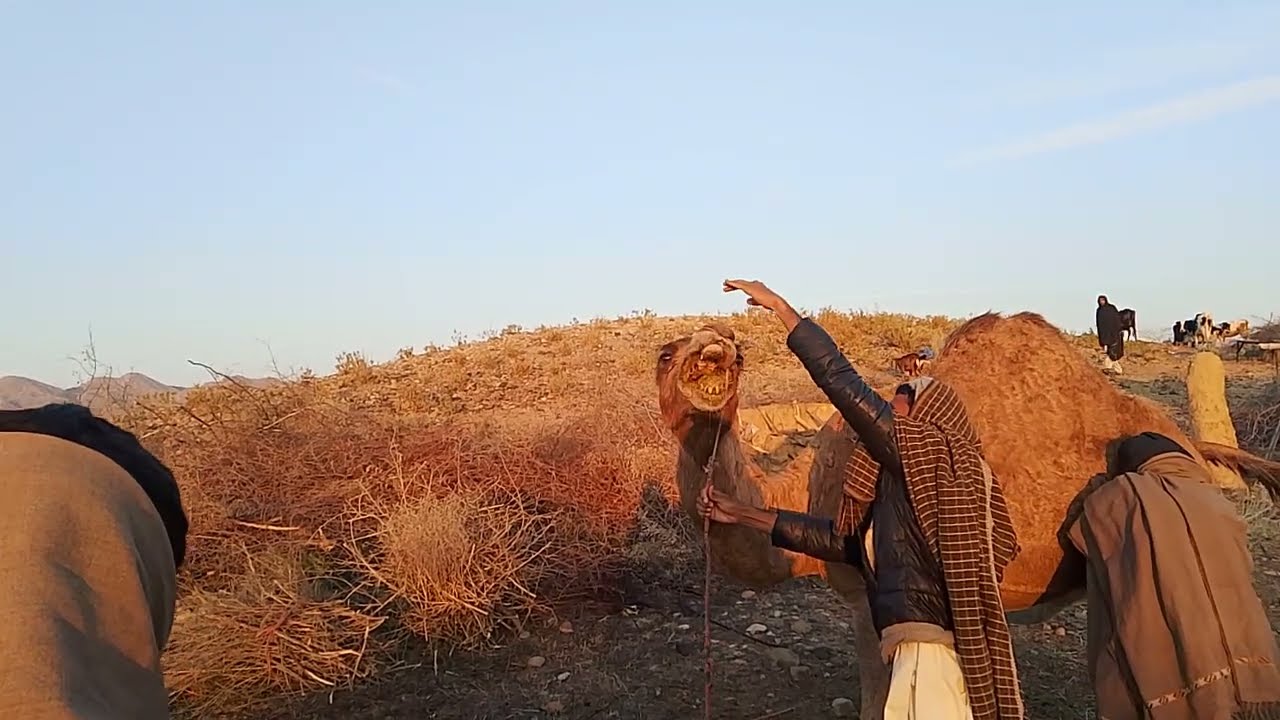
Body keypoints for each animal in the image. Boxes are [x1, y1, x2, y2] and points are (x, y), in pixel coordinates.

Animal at [656, 312, 1280, 719]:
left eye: (738, 352)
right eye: (665, 354)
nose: (715, 344)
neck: (809, 486)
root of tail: (1189, 442)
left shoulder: (865, 597)